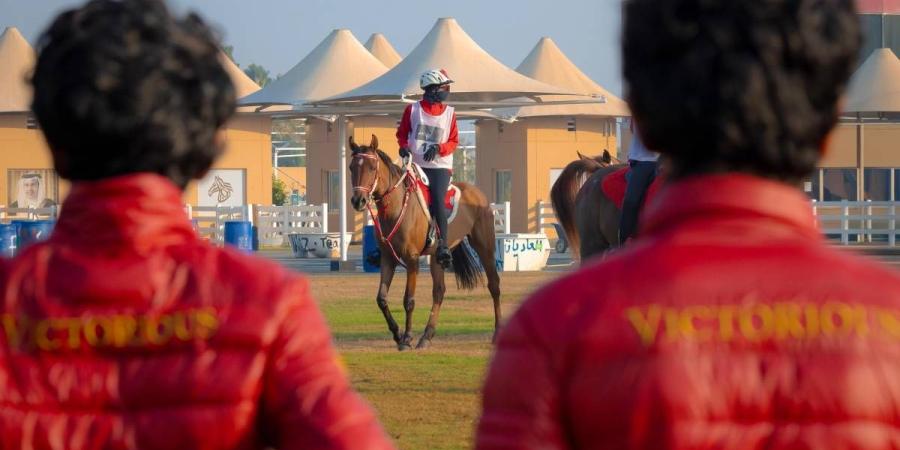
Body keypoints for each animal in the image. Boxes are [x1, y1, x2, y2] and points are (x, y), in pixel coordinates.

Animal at [348, 134, 502, 352]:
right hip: (437, 257)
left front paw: (406, 339)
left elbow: (408, 300)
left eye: (371, 167)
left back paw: (498, 332)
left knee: (494, 285)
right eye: (351, 167)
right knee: (439, 292)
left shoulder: (411, 259)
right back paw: (426, 337)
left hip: (484, 247)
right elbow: (381, 299)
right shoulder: (388, 259)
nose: (358, 201)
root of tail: (476, 192)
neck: (396, 206)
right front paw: (397, 334)